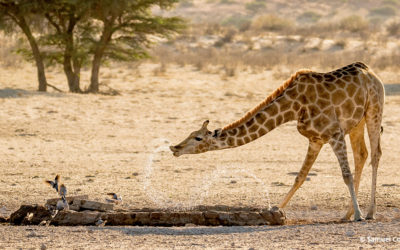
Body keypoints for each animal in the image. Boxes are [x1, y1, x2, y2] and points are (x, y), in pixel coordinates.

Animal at [171, 62, 384, 221]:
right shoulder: (316, 139)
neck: (294, 106)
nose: (175, 148)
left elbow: (345, 175)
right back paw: (346, 214)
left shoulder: (335, 134)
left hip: (374, 110)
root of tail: (370, 71)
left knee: (375, 155)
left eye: (197, 137)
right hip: (357, 123)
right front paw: (275, 210)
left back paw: (369, 213)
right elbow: (300, 177)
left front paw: (359, 215)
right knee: (362, 155)